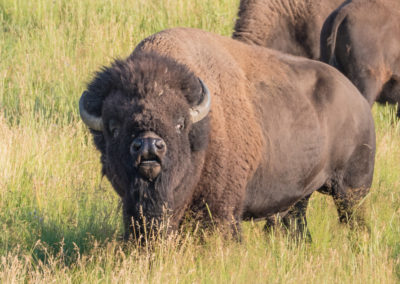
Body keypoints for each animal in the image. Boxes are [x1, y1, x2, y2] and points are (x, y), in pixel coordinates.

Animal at [79, 27, 376, 240]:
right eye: (114, 127)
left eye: (180, 123)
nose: (149, 146)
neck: (203, 129)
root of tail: (359, 101)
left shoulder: (221, 209)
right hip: (301, 198)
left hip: (352, 192)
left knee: (355, 221)